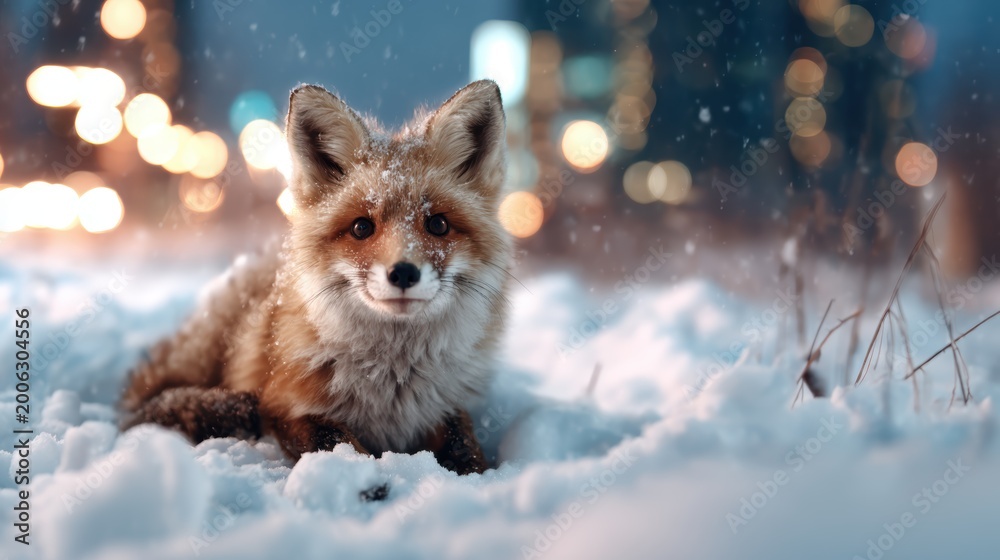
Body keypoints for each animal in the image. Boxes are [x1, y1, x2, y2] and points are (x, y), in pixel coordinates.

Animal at [120, 80, 513, 476]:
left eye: (438, 224)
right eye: (361, 227)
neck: (393, 381)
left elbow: (464, 442)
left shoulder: (446, 407)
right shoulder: (284, 405)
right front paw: (364, 479)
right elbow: (333, 441)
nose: (403, 272)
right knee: (139, 406)